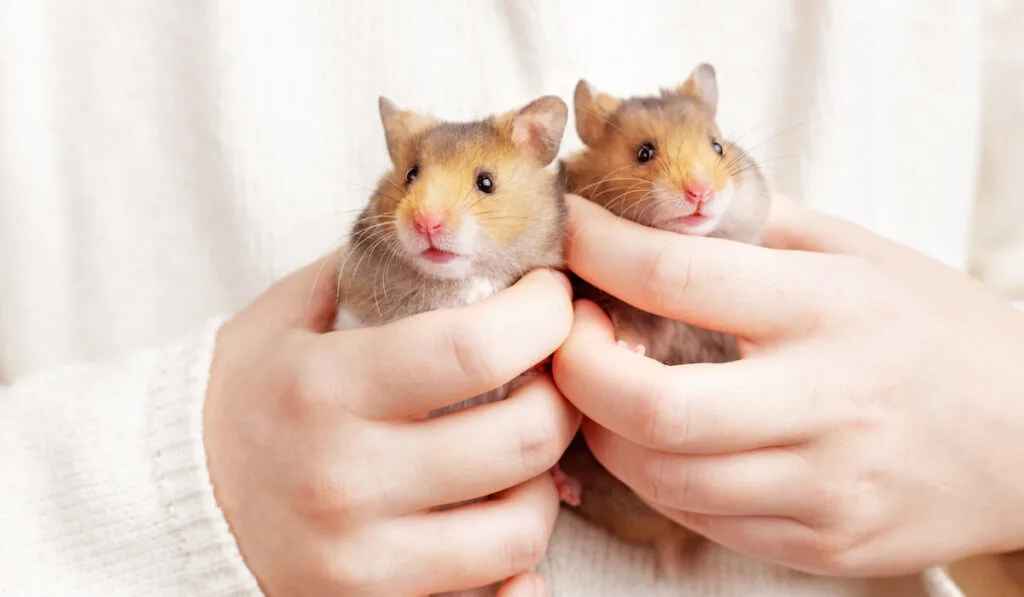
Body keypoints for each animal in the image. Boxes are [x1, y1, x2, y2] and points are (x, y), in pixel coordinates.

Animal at [557, 62, 770, 577]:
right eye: (644, 153)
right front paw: (631, 349)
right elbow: (630, 321)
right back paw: (563, 484)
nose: (701, 192)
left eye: (718, 146)